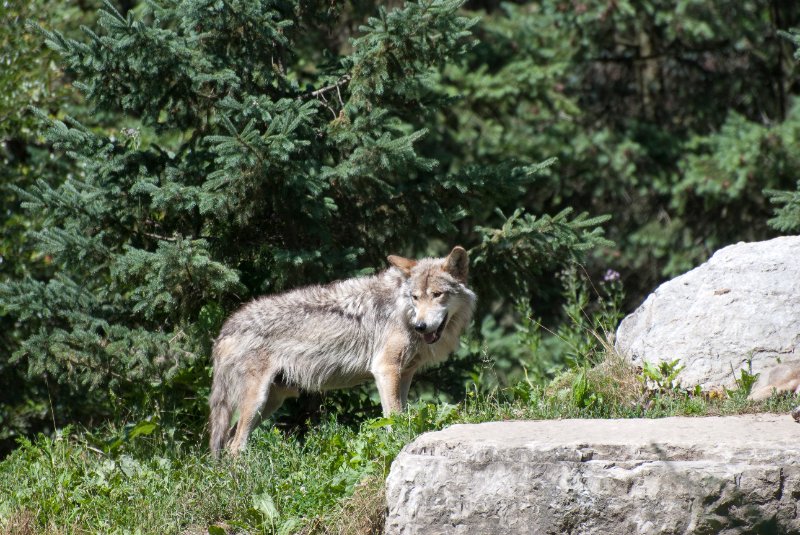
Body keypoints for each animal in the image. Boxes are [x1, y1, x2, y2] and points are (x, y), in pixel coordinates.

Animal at [208, 246, 476, 456]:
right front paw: (397, 446)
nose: (421, 326)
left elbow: (401, 413)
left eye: (437, 295)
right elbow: (394, 416)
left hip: (270, 402)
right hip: (257, 400)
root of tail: (225, 329)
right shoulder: (385, 369)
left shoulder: (404, 374)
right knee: (235, 446)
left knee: (230, 439)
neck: (402, 310)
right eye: (416, 297)